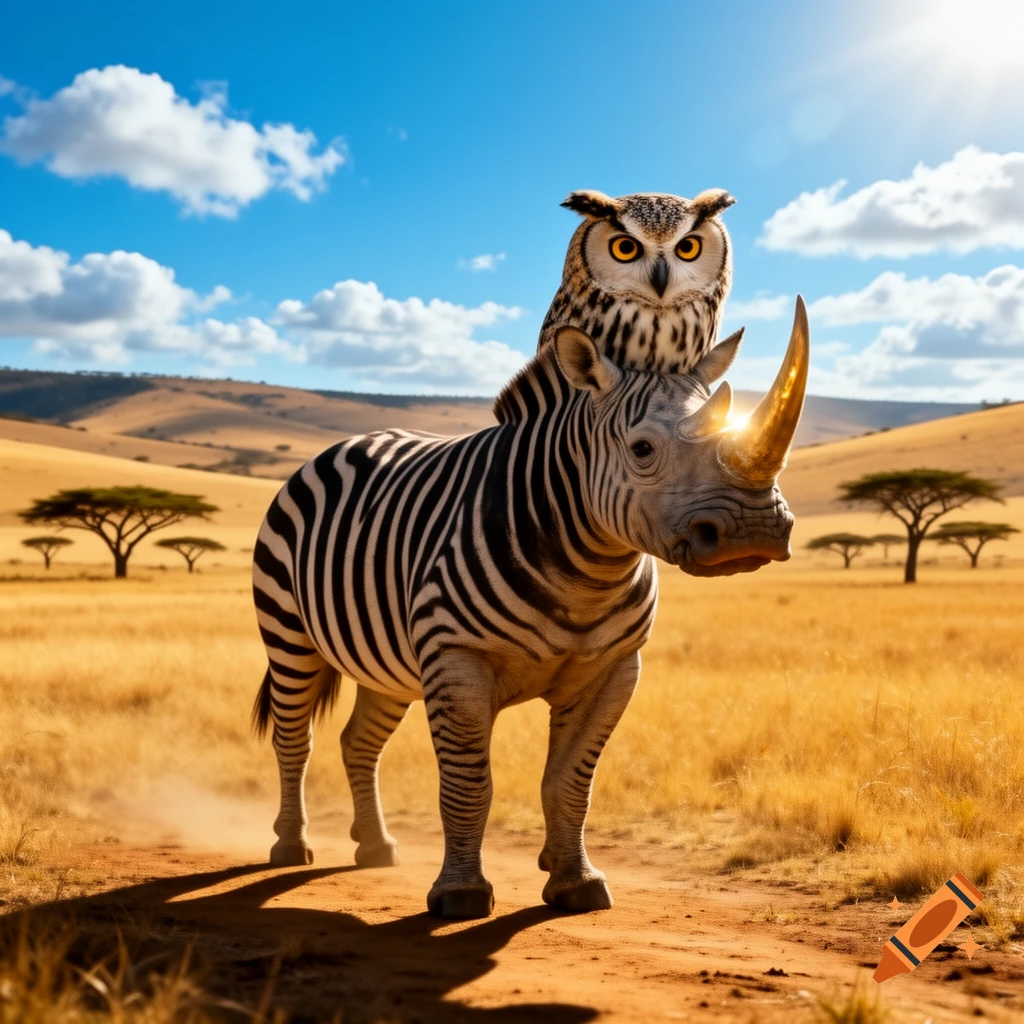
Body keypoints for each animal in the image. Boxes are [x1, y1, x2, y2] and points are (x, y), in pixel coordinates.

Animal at [252, 298, 809, 919]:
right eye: (642, 449)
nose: (755, 533)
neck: (586, 575)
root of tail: (347, 445)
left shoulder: (613, 668)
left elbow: (569, 782)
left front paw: (574, 883)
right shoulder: (458, 658)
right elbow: (469, 784)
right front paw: (462, 895)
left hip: (387, 661)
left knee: (358, 741)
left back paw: (375, 847)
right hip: (289, 632)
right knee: (293, 737)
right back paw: (290, 846)